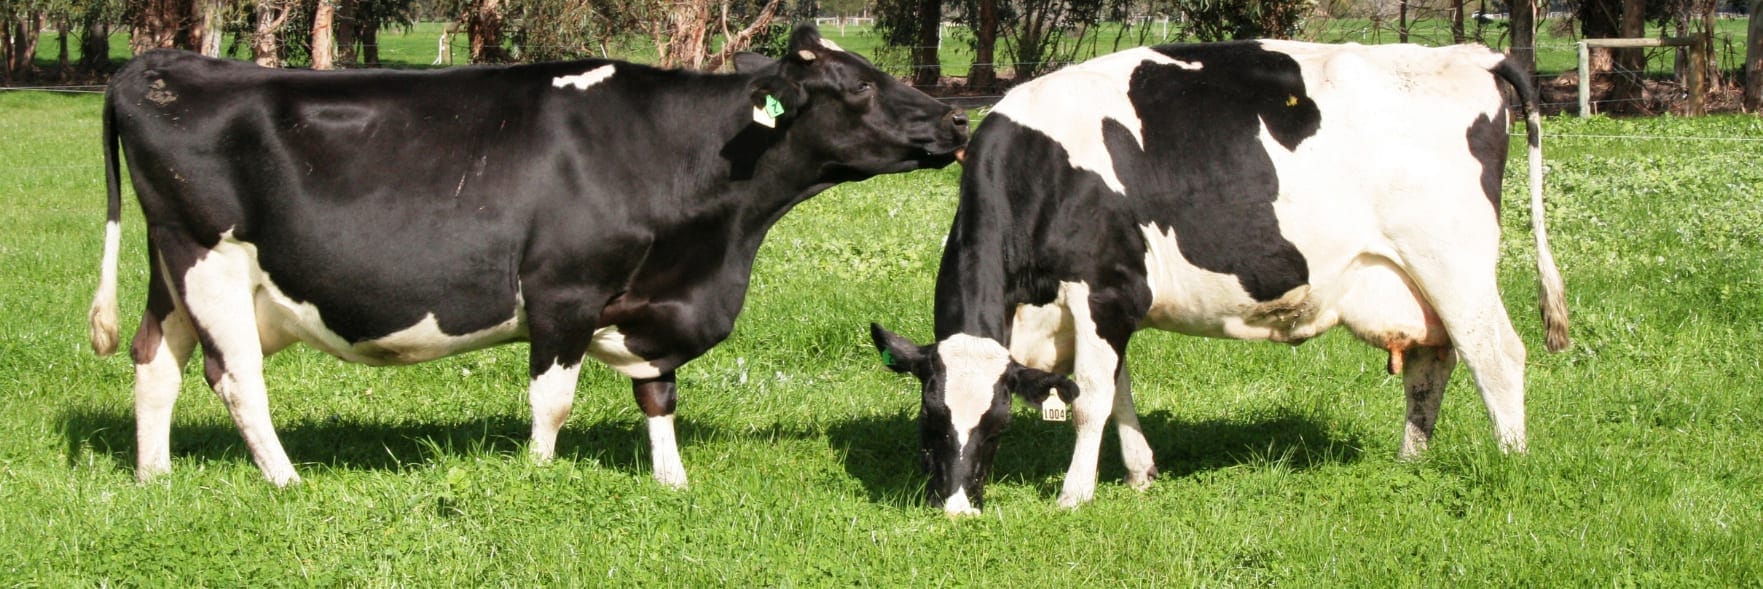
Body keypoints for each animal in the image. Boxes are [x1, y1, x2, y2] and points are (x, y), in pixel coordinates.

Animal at [88, 25, 969, 487]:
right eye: (855, 87)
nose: (955, 122)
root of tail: (160, 64)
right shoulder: (563, 292)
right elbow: (553, 401)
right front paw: (540, 476)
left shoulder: (652, 302)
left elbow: (658, 395)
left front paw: (671, 481)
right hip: (211, 260)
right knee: (234, 376)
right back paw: (285, 480)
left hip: (172, 272)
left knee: (154, 359)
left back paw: (154, 477)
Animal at [870, 40, 1569, 515]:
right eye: (930, 422)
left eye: (997, 425)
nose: (957, 510)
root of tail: (1470, 55)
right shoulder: (1110, 306)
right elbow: (1120, 390)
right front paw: (1141, 473)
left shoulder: (1103, 289)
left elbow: (1092, 398)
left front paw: (1074, 493)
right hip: (1411, 280)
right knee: (1432, 362)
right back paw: (1409, 462)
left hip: (1453, 260)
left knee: (1496, 355)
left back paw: (1511, 461)